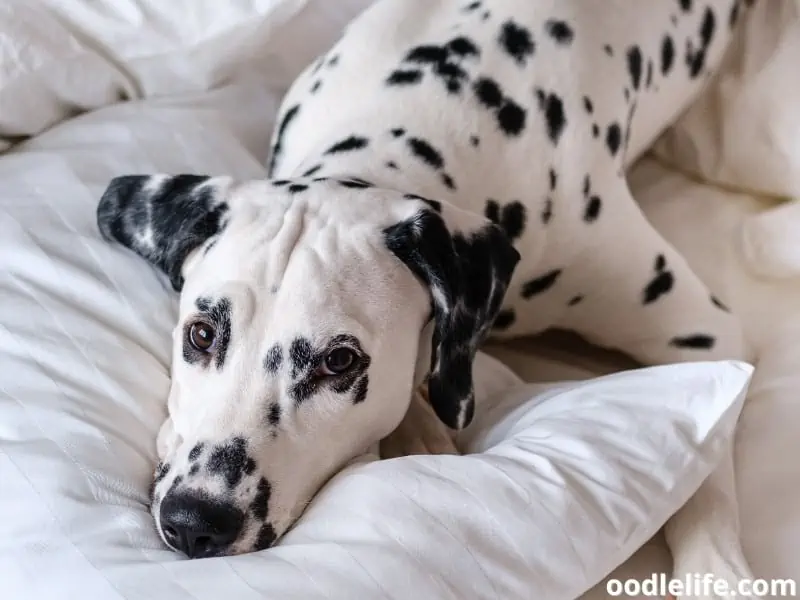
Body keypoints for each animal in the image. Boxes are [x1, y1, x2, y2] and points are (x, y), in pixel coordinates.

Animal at [97, 0, 752, 584]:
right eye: (201, 334)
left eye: (339, 362)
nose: (195, 521)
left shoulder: (707, 336)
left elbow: (709, 447)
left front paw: (718, 569)